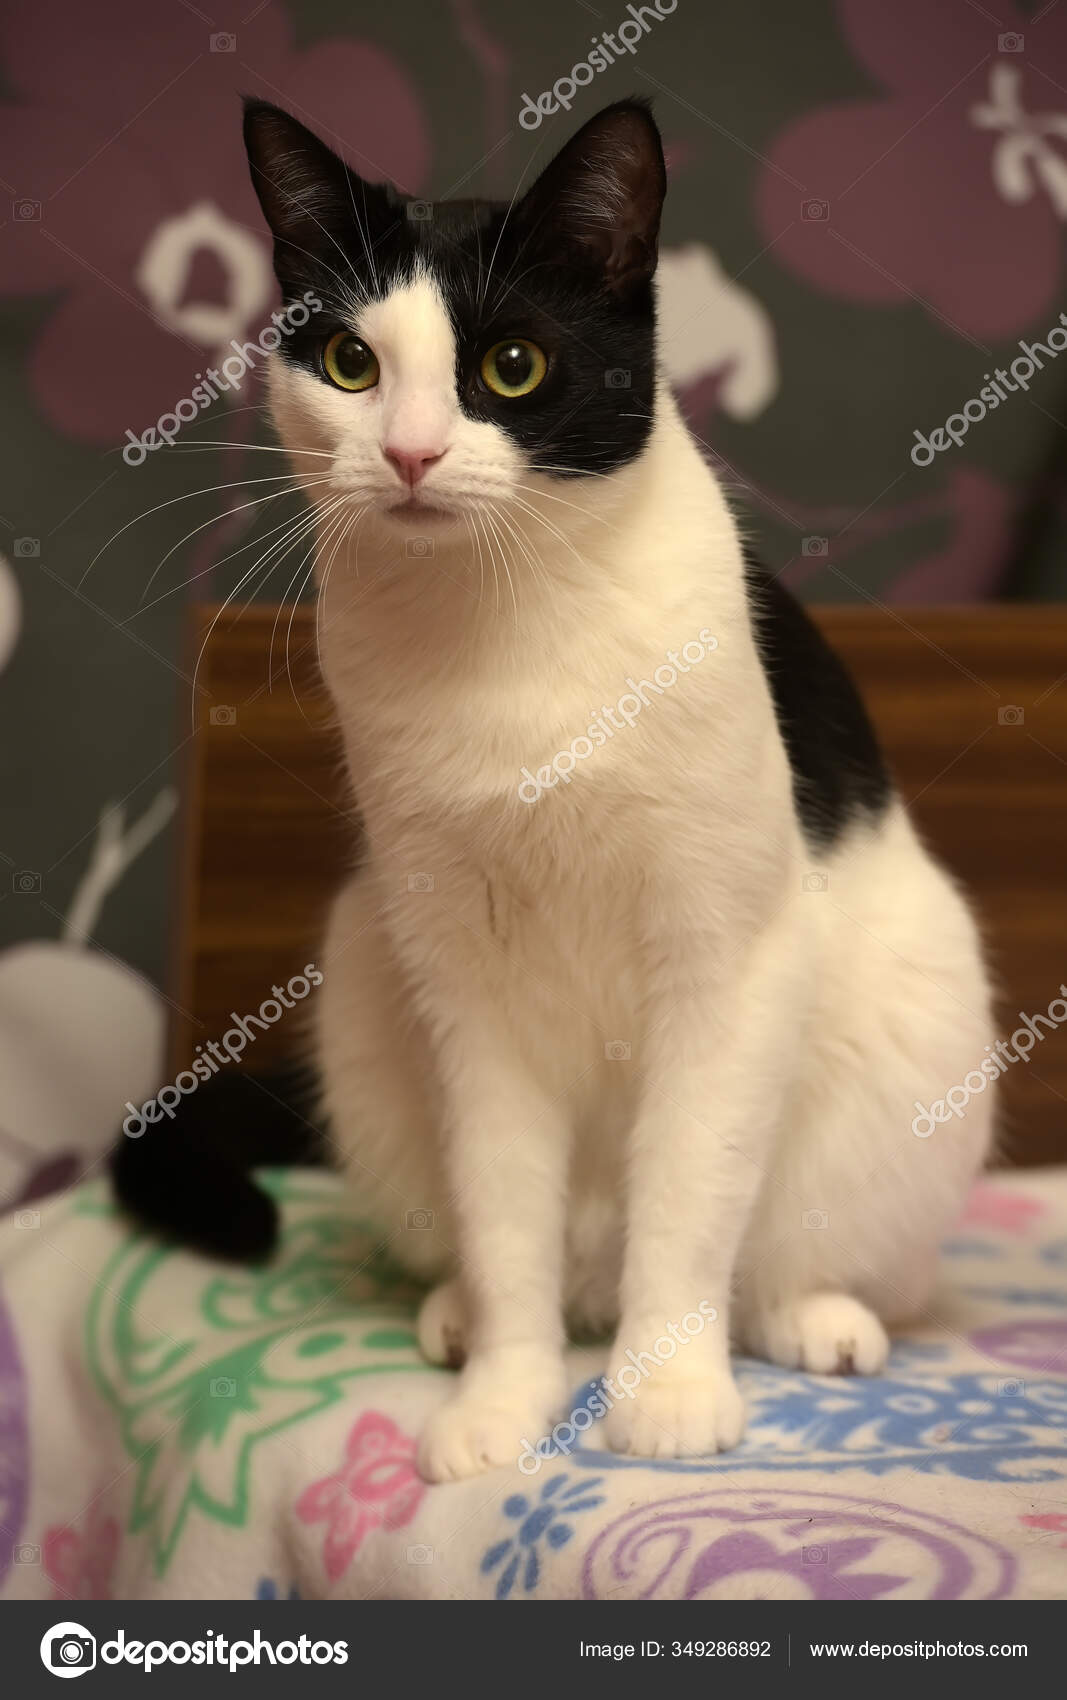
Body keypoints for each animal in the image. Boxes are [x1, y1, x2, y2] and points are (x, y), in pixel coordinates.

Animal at [116, 97, 995, 1484]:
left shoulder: (723, 953)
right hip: (365, 967)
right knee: (516, 1243)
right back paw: (460, 1314)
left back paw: (810, 1315)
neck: (508, 626)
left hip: (916, 1016)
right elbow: (502, 1208)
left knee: (770, 1250)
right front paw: (502, 1396)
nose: (411, 453)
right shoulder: (463, 983)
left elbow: (688, 1195)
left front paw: (668, 1390)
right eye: (350, 363)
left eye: (513, 366)